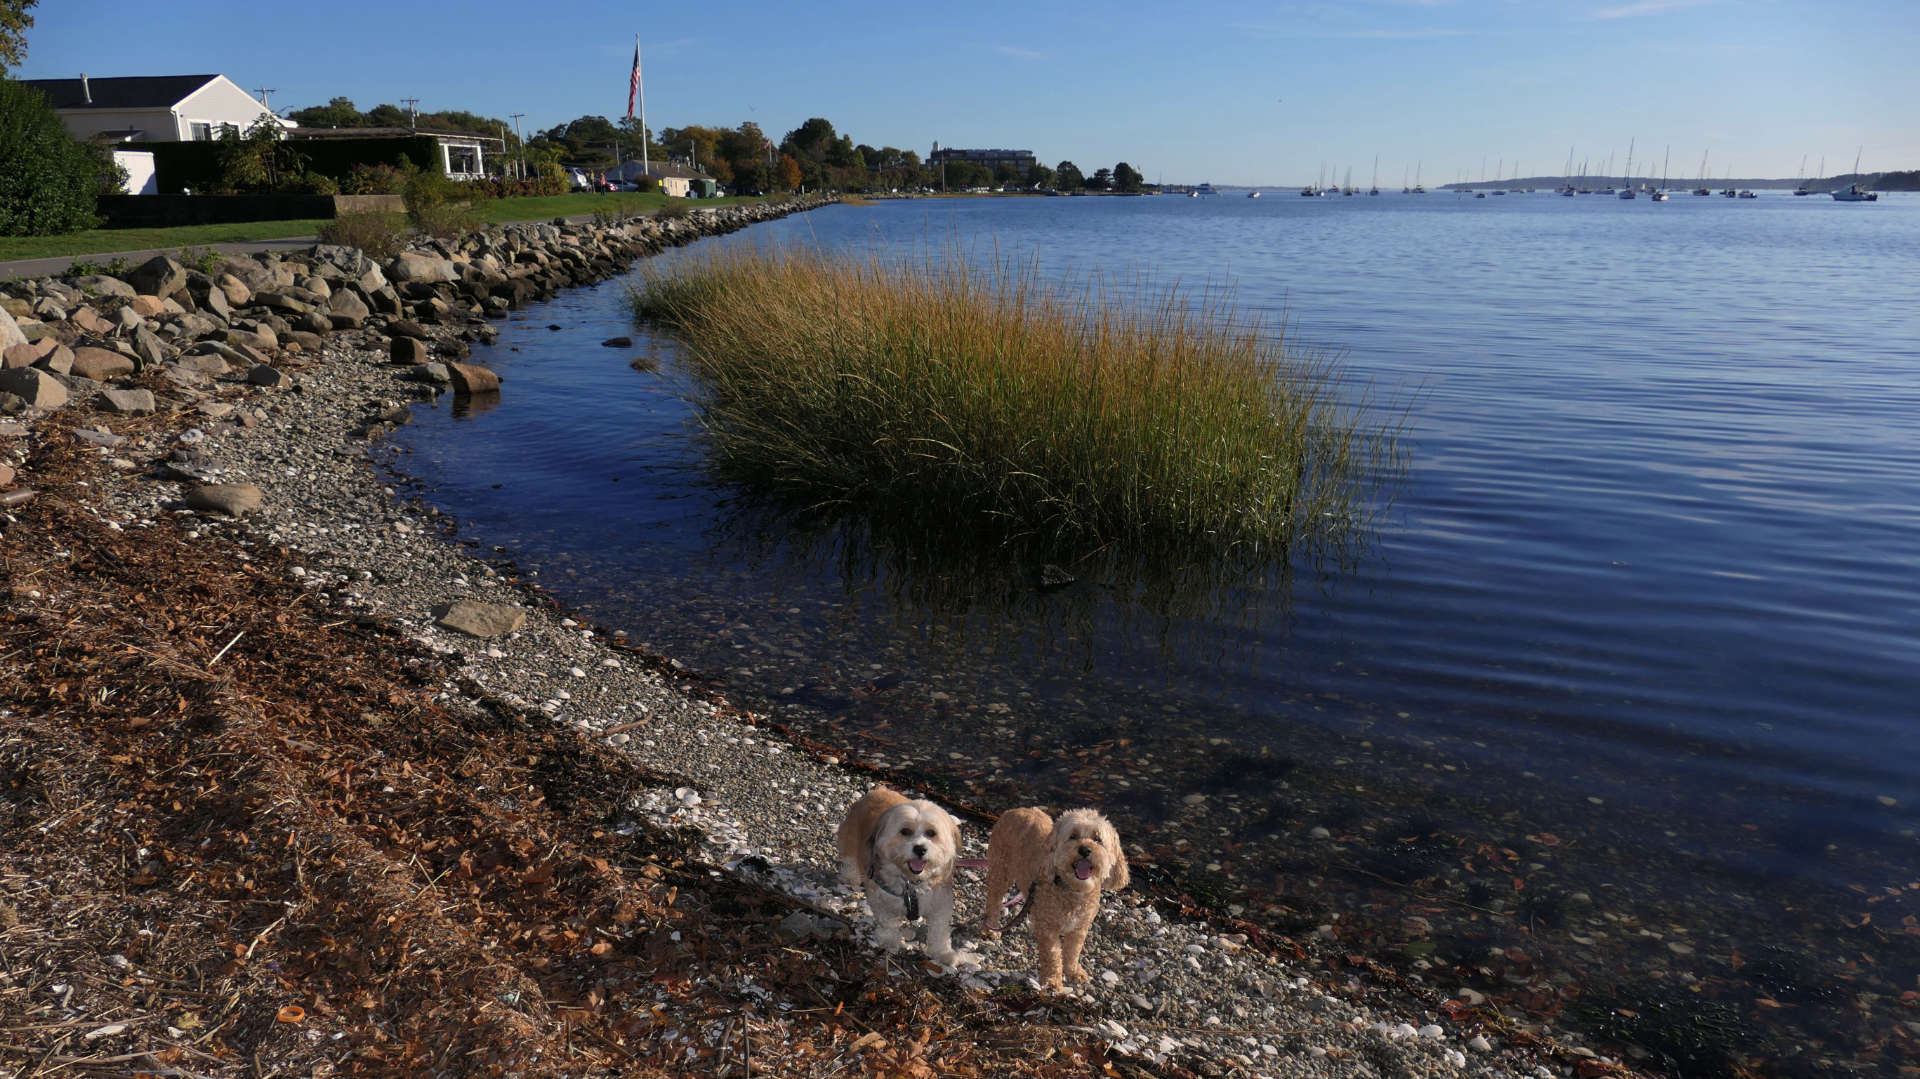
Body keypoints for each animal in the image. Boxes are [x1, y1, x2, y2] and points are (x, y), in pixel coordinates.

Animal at [837, 779, 975, 967]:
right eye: (905, 831)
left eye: (931, 833)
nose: (920, 849)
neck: (912, 883)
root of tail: (878, 790)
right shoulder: (880, 899)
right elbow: (887, 923)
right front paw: (889, 940)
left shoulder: (940, 904)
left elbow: (939, 931)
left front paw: (943, 953)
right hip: (849, 837)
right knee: (849, 859)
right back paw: (850, 877)